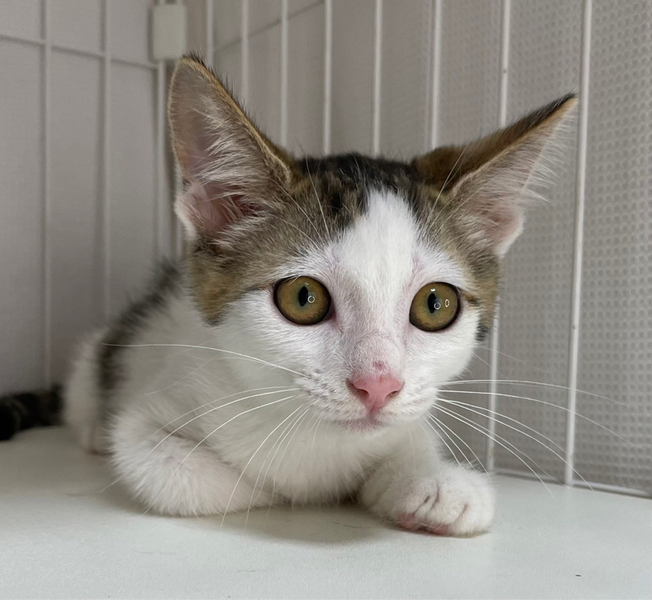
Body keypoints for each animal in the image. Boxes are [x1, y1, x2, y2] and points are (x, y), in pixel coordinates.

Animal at [64, 54, 575, 536]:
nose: (378, 386)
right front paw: (311, 488)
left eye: (435, 304)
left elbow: (410, 440)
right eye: (303, 298)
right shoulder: (147, 423)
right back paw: (92, 430)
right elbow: (192, 481)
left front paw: (435, 482)